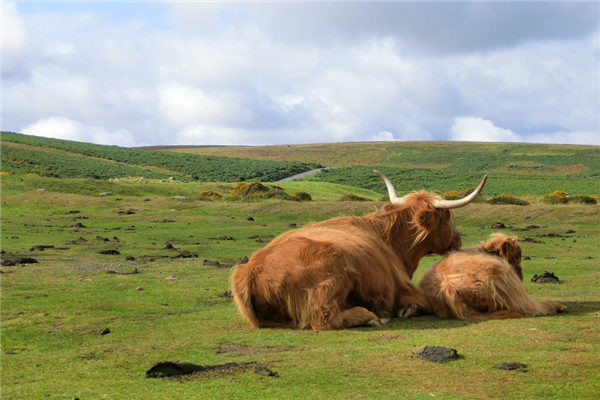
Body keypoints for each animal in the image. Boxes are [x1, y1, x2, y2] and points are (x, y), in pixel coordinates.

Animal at [230, 170, 488, 330]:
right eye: (448, 216)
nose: (458, 238)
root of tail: (250, 269)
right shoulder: (405, 289)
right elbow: (423, 302)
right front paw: (405, 310)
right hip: (332, 278)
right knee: (323, 319)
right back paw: (371, 317)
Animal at [418, 233, 568, 320]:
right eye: (517, 256)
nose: (521, 275)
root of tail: (450, 289)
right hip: (509, 284)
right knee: (532, 308)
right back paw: (558, 306)